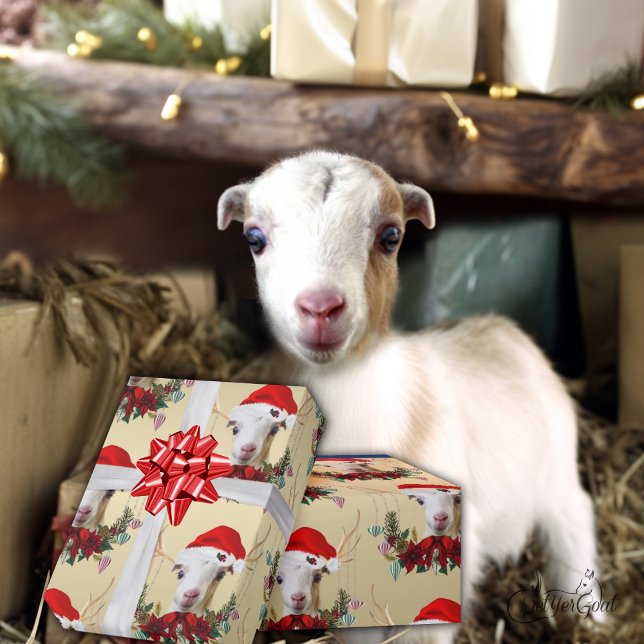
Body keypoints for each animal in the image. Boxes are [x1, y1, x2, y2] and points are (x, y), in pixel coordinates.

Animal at [217, 151, 602, 643]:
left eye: (391, 236)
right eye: (254, 238)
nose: (320, 308)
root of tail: (499, 326)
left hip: (556, 470)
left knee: (574, 520)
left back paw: (590, 617)